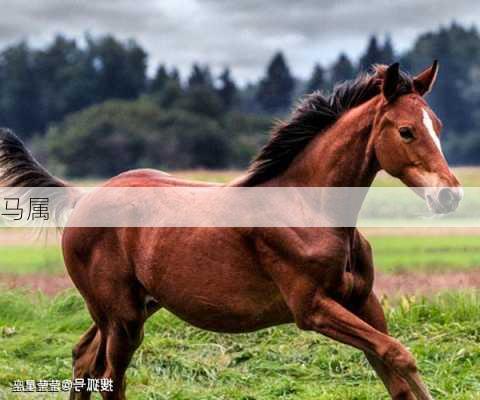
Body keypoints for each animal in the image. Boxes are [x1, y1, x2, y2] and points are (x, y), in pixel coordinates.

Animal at [0, 62, 462, 400]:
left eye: (438, 126)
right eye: (406, 131)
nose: (451, 195)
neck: (308, 208)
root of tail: (83, 197)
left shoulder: (364, 301)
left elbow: (396, 370)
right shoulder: (312, 308)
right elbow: (399, 354)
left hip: (131, 307)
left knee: (84, 359)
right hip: (122, 315)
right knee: (110, 377)